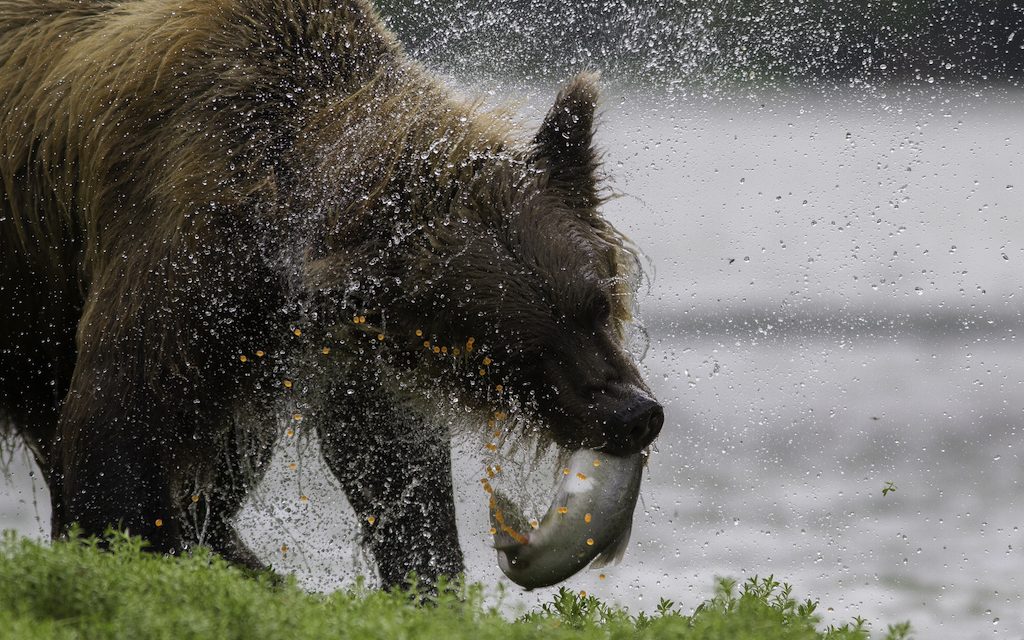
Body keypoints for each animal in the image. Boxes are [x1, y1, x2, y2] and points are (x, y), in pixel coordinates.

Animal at [0, 0, 663, 588]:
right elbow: (117, 435)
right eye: (509, 342)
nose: (633, 414)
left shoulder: (343, 341)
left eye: (596, 304)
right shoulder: (176, 249)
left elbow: (391, 463)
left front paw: (424, 576)